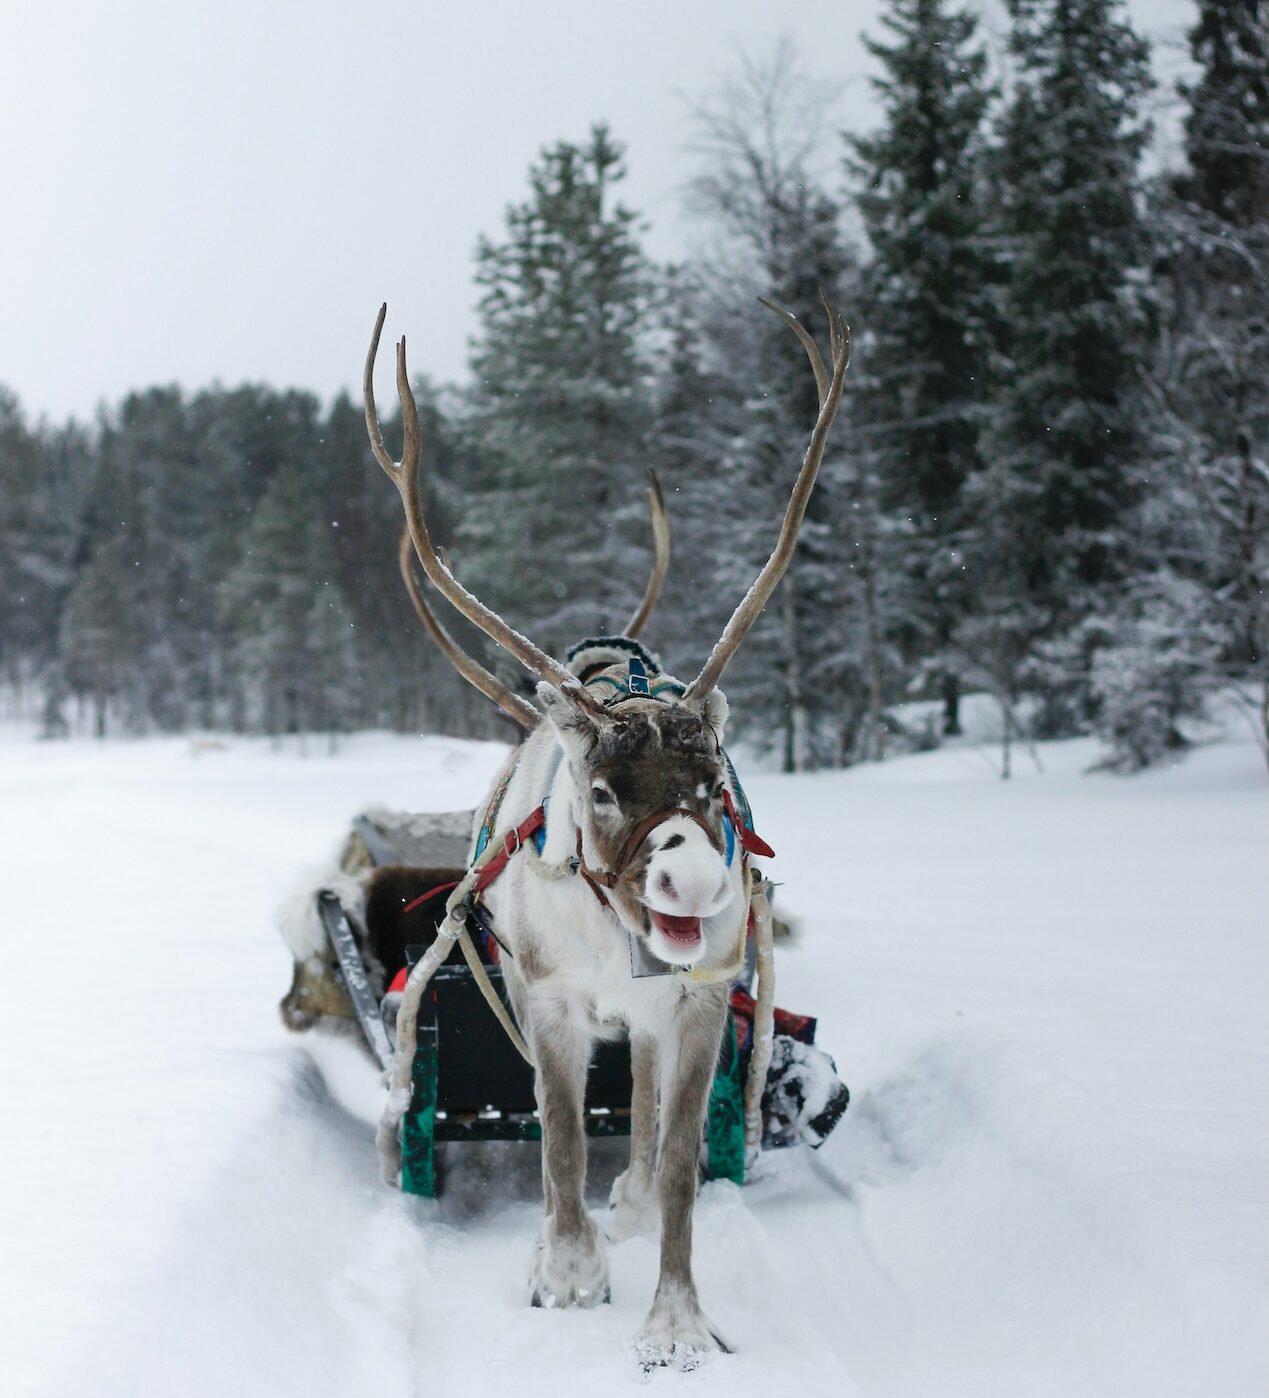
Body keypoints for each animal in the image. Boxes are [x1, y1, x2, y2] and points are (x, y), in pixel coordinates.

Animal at [362, 294, 850, 1366]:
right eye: (602, 789)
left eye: (712, 784)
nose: (695, 886)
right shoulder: (546, 1002)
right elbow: (559, 1138)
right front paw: (567, 1272)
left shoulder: (698, 1004)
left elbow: (674, 1162)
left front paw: (674, 1322)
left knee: (649, 1110)